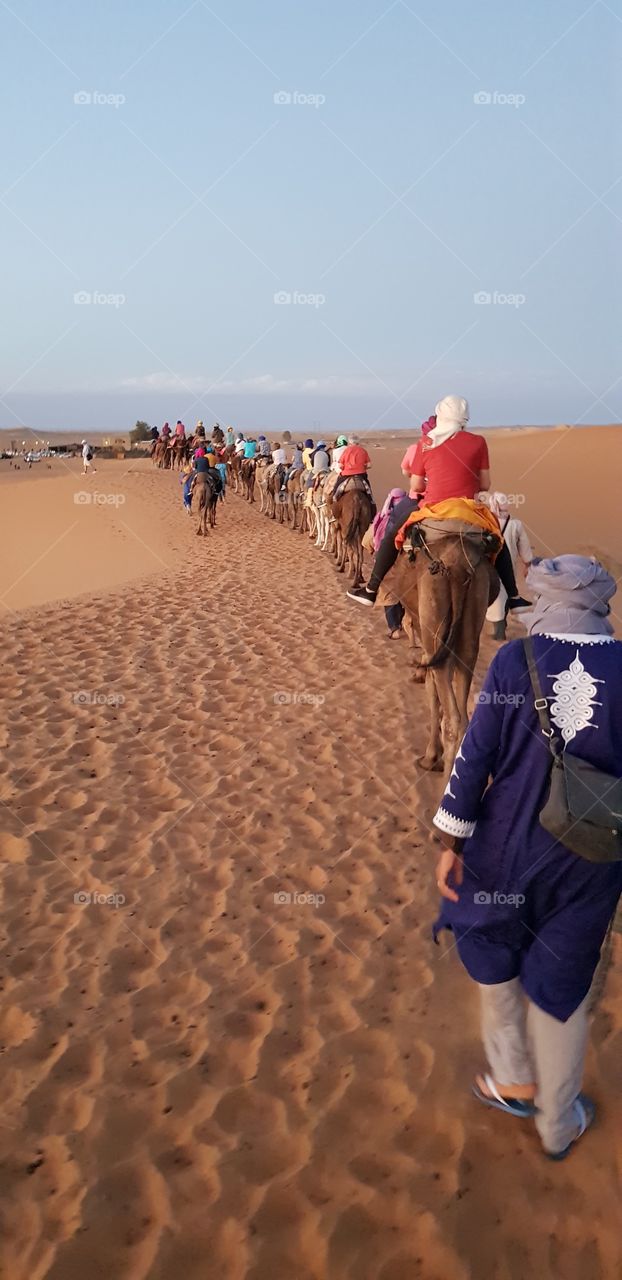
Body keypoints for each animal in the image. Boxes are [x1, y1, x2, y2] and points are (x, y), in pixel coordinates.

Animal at [394, 524, 501, 773]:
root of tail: (460, 567)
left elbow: (432, 690)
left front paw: (431, 757)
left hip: (434, 601)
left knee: (453, 716)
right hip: (474, 608)